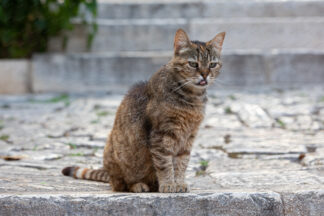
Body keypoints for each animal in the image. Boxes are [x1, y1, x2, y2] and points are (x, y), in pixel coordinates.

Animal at [62, 28, 225, 192]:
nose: (205, 75)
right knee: (121, 184)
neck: (192, 98)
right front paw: (168, 184)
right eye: (193, 64)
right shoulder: (161, 135)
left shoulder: (188, 137)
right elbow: (165, 164)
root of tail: (108, 175)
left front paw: (179, 183)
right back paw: (139, 185)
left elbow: (181, 164)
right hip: (116, 157)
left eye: (212, 64)